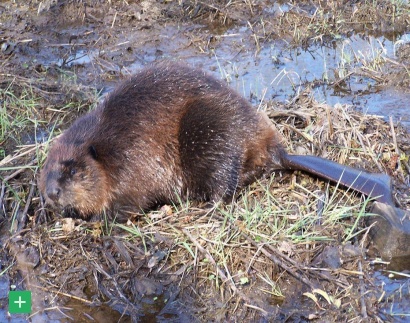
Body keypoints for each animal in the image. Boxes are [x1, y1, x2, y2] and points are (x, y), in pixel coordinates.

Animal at [38, 61, 394, 219]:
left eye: (73, 169)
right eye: (46, 171)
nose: (52, 193)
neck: (106, 146)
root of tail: (278, 151)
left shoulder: (129, 164)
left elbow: (126, 204)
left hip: (208, 130)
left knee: (225, 184)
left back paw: (202, 208)